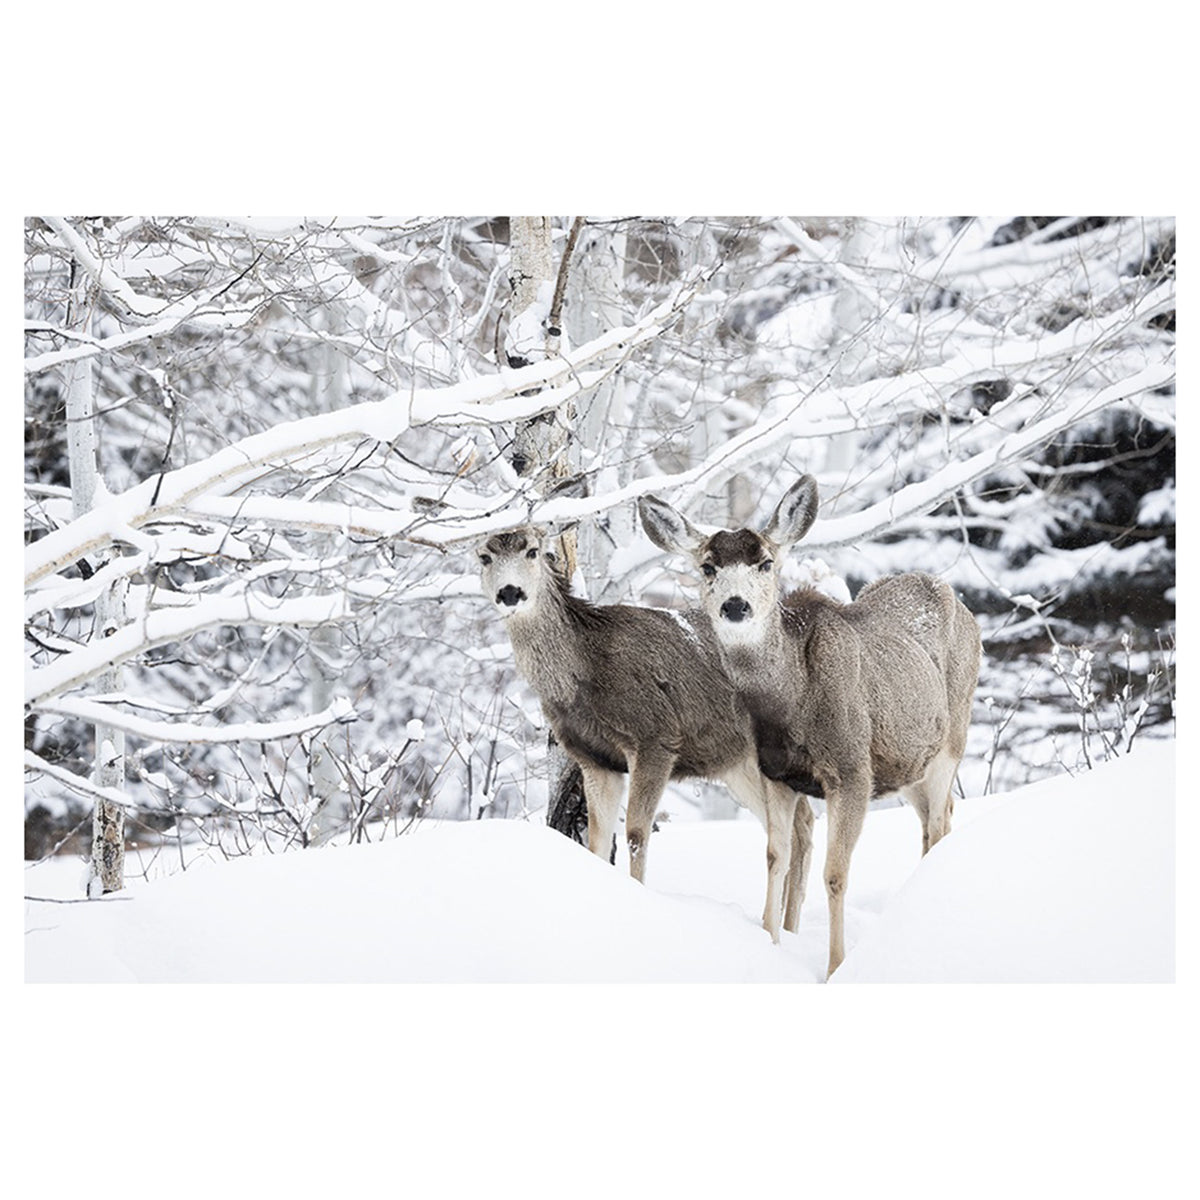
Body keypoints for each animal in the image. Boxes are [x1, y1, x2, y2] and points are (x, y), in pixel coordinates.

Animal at [477, 526, 814, 942]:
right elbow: (597, 839)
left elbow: (637, 833)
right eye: (484, 556)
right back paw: (788, 929)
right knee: (800, 825)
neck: (586, 671)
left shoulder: (656, 737)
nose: (510, 592)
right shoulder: (595, 758)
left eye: (532, 551)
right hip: (737, 764)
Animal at [639, 476, 981, 978]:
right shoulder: (776, 773)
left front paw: (836, 966)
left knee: (939, 824)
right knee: (939, 820)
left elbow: (835, 874)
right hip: (909, 764)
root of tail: (950, 593)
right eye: (707, 566)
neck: (789, 704)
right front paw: (767, 941)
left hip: (953, 738)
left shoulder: (852, 769)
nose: (735, 606)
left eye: (765, 562)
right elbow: (775, 857)